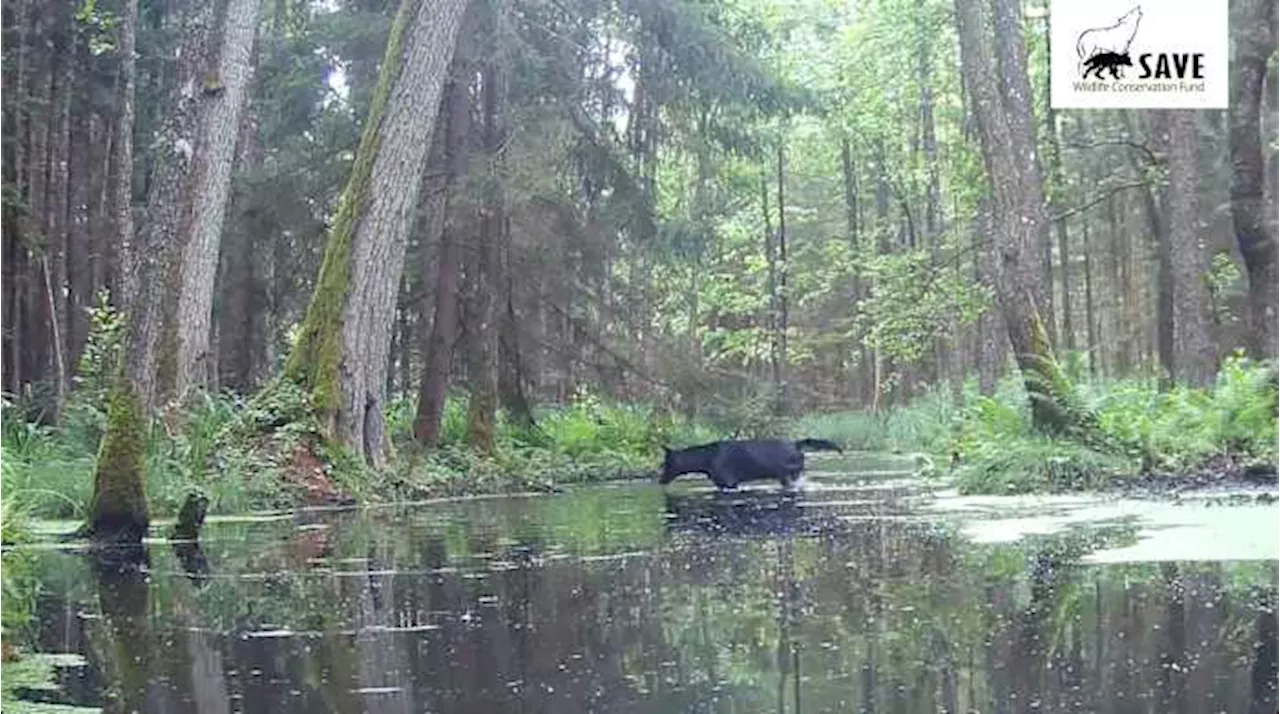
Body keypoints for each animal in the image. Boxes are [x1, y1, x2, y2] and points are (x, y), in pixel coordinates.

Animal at [655, 440, 844, 496]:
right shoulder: (722, 485)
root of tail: (797, 443)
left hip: (790, 475)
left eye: (664, 464)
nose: (659, 480)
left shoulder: (730, 483)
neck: (705, 459)